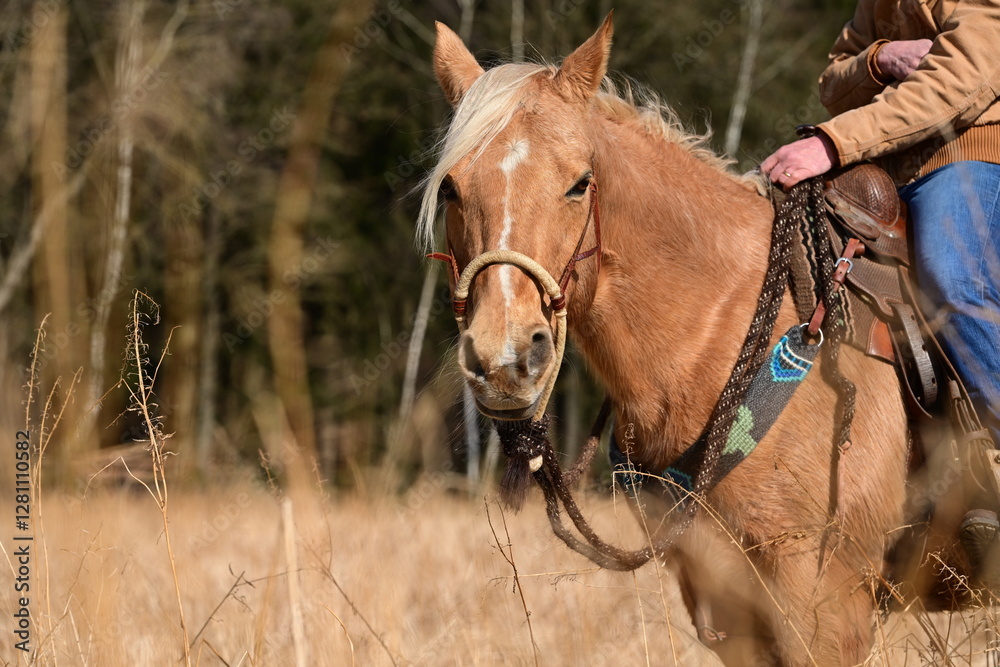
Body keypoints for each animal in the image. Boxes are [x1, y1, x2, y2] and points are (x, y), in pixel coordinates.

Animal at [421, 14, 917, 666]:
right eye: (452, 188)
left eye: (580, 184)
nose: (505, 359)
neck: (720, 337)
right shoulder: (726, 600)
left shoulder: (827, 601)